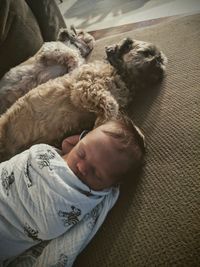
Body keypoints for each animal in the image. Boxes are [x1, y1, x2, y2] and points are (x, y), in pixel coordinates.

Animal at [0, 38, 167, 162]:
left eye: (162, 60)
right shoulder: (85, 88)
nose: (159, 64)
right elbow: (111, 106)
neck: (122, 76)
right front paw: (100, 124)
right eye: (146, 53)